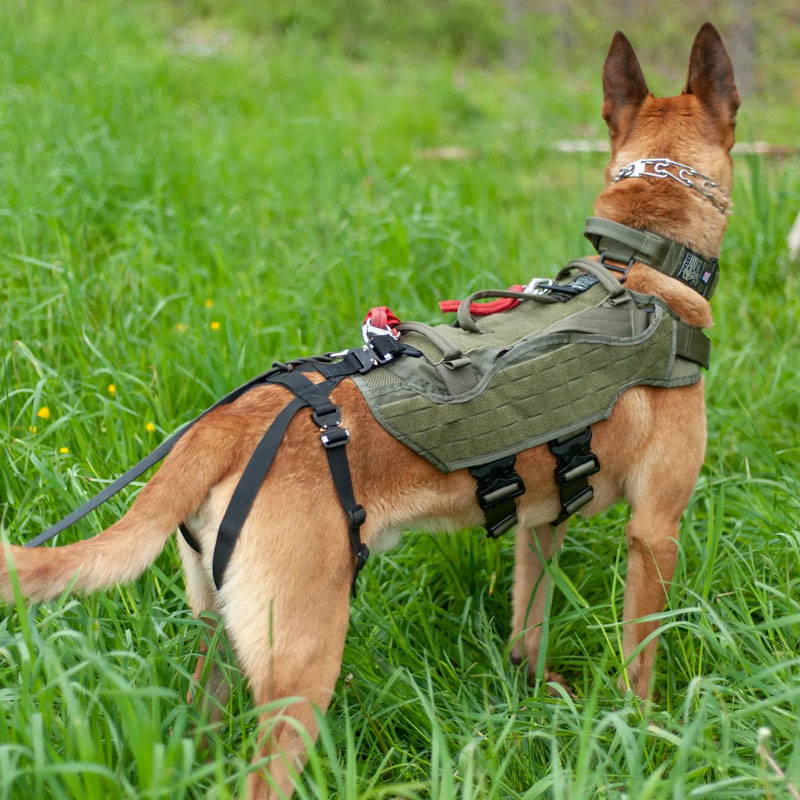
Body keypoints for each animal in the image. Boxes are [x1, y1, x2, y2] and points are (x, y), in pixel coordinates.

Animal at [0, 23, 736, 800]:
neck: (642, 270)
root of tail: (226, 425)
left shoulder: (543, 524)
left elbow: (527, 627)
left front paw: (540, 695)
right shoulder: (654, 532)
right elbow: (641, 658)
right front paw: (650, 742)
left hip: (223, 640)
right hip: (302, 668)